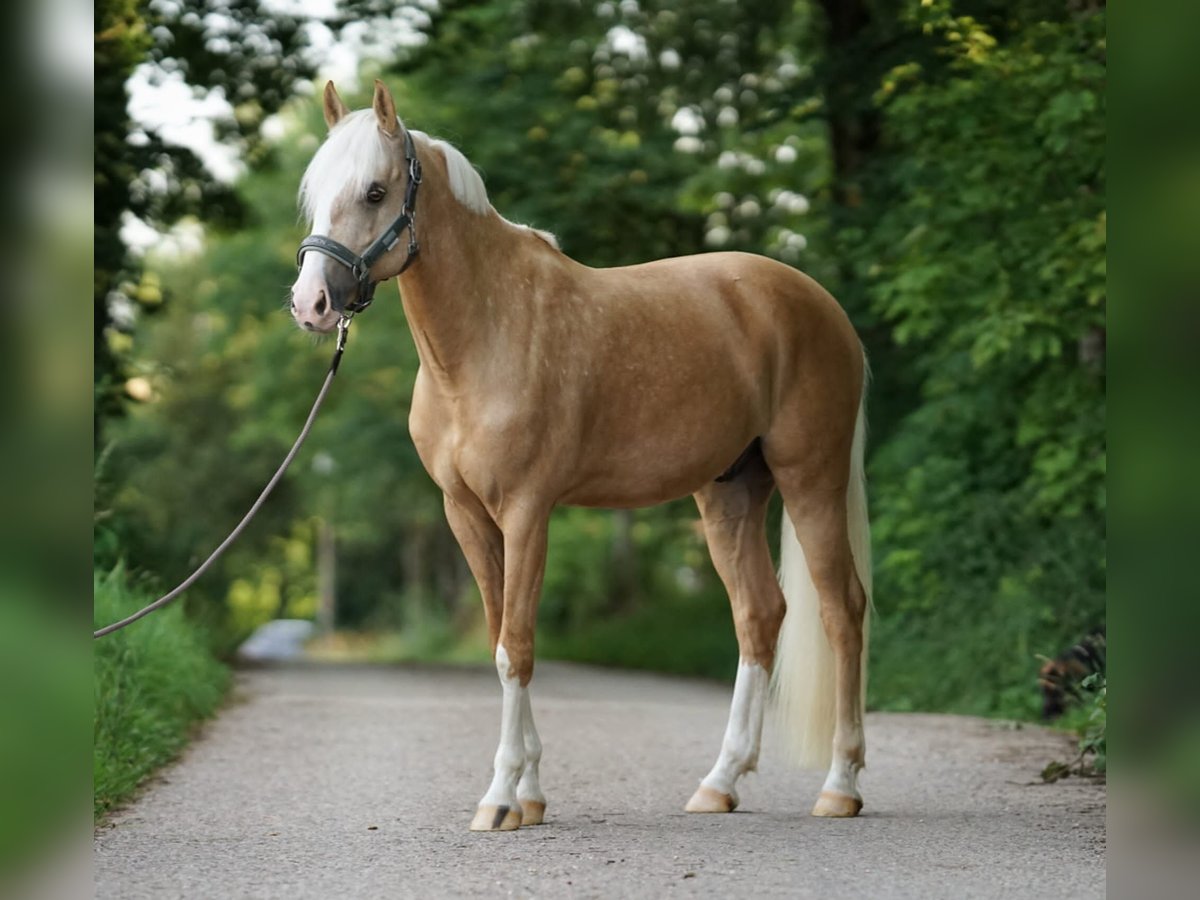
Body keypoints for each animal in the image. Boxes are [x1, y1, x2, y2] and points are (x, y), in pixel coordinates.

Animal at [290, 81, 873, 835]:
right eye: (316, 191)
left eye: (373, 190)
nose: (311, 304)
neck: (484, 338)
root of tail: (822, 307)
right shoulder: (466, 516)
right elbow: (499, 641)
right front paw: (531, 795)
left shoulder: (527, 511)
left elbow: (517, 645)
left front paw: (500, 797)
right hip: (729, 492)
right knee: (759, 615)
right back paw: (720, 783)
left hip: (811, 480)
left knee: (842, 611)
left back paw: (840, 786)